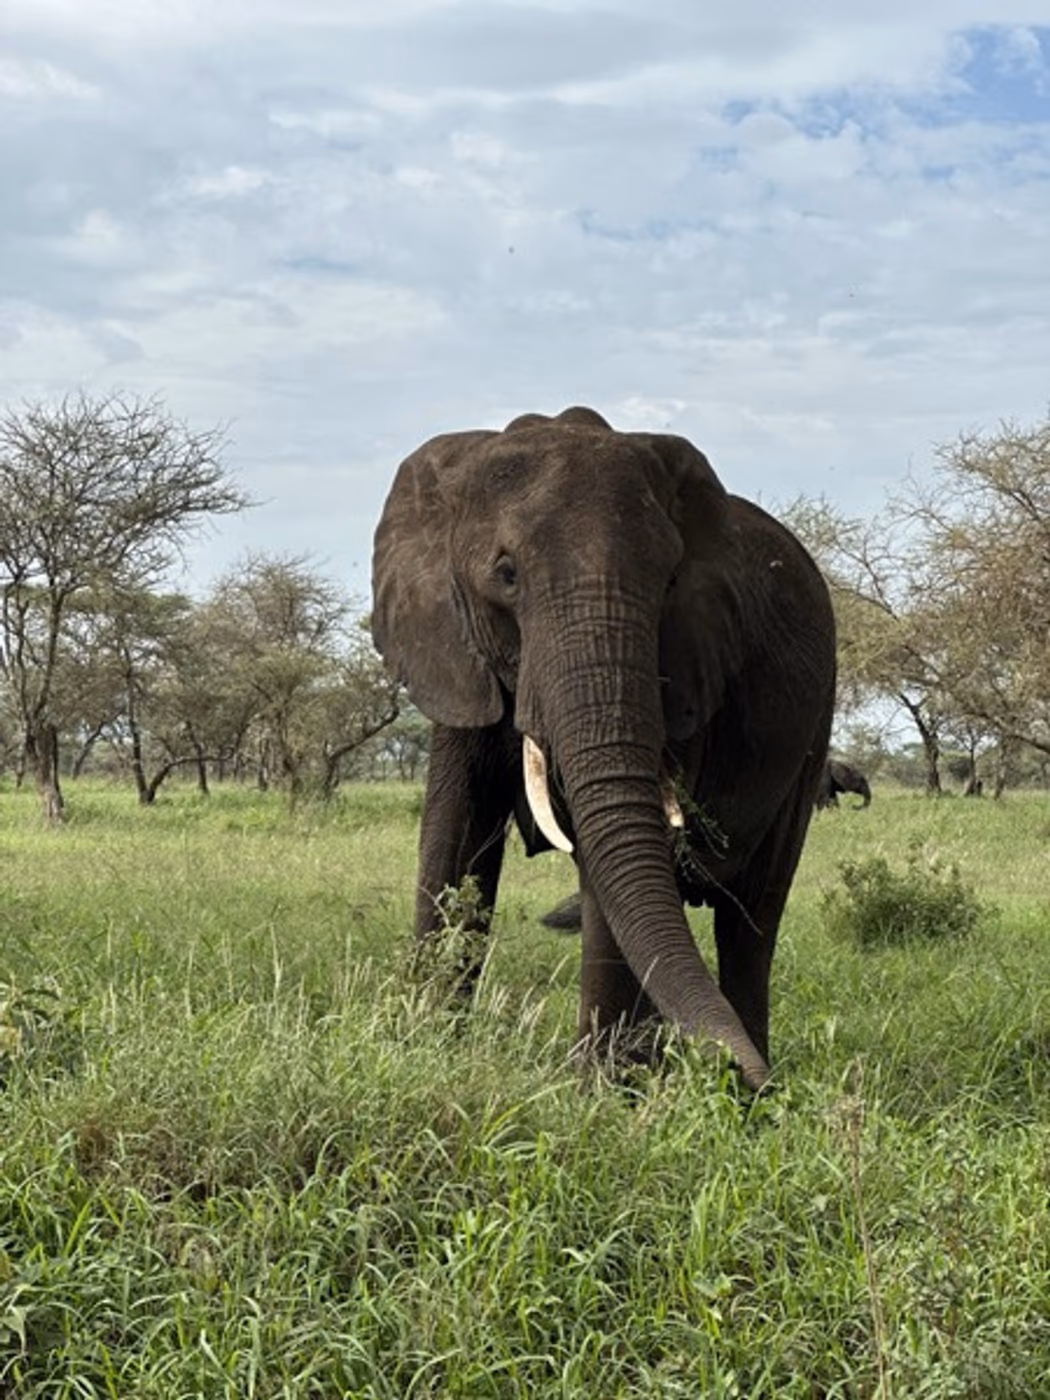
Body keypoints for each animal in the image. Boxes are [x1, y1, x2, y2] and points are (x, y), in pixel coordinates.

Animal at [371, 407, 836, 1090]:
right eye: (506, 574)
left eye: (669, 582)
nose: (730, 1067)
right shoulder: (453, 647)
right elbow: (454, 833)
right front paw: (426, 1044)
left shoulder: (689, 664)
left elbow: (611, 858)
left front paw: (595, 1092)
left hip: (815, 726)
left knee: (753, 915)